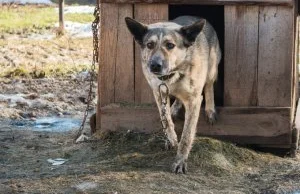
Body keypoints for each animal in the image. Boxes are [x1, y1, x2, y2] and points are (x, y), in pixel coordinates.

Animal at [125, 14, 221, 173]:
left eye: (170, 45)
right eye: (149, 45)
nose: (155, 66)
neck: (171, 75)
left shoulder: (194, 100)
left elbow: (187, 135)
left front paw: (180, 161)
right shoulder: (158, 93)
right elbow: (166, 120)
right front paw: (171, 139)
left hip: (212, 69)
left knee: (209, 86)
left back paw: (210, 110)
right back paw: (175, 108)